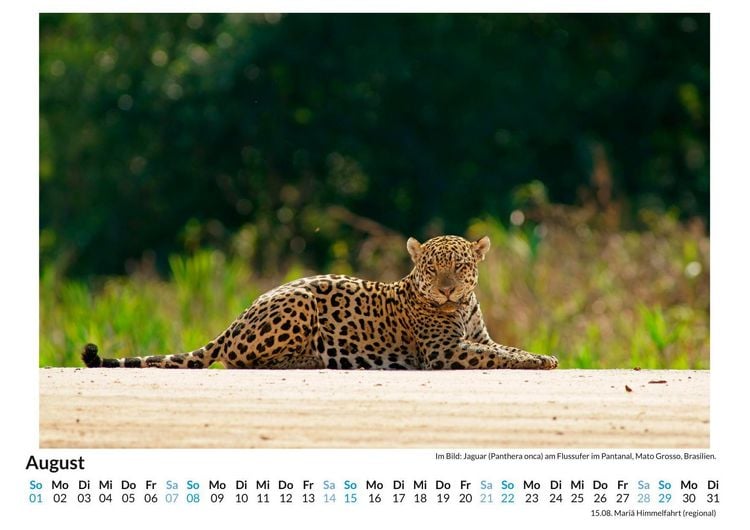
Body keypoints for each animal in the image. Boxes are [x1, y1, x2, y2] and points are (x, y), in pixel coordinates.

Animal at [81, 235, 558, 370]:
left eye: (459, 267)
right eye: (432, 268)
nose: (445, 289)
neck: (461, 306)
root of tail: (235, 319)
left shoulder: (477, 338)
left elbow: (505, 348)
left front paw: (541, 355)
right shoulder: (443, 352)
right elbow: (497, 357)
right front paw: (541, 362)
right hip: (300, 301)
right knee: (238, 360)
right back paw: (310, 359)